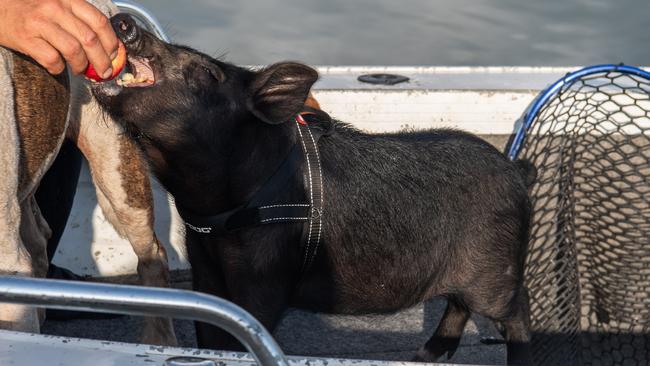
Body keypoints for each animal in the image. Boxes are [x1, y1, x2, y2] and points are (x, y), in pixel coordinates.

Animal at [93, 13, 536, 364]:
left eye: (208, 73)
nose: (122, 20)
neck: (212, 207)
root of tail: (517, 171)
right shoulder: (205, 268)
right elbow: (209, 337)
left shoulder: (266, 278)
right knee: (458, 305)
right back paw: (424, 355)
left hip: (495, 270)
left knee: (518, 312)